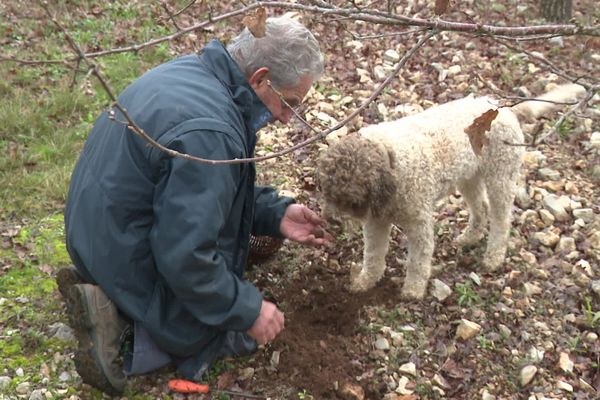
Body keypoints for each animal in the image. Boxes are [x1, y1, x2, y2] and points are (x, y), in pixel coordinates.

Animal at [318, 83, 584, 300]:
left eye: (351, 200)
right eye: (328, 194)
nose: (330, 220)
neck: (392, 159)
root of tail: (507, 111)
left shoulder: (419, 225)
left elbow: (418, 261)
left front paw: (413, 291)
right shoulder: (376, 222)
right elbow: (373, 256)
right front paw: (364, 281)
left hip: (500, 176)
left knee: (501, 220)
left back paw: (493, 257)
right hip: (469, 177)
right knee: (480, 208)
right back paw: (470, 237)